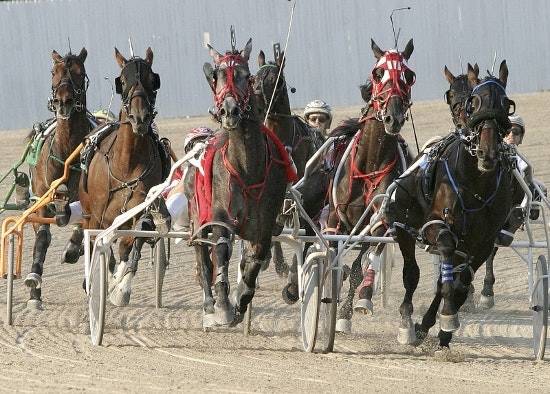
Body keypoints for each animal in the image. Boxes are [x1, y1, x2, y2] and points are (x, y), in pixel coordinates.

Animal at [24, 47, 96, 310]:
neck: (66, 152)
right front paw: (34, 284)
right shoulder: (42, 201)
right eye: (53, 71)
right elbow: (42, 237)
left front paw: (72, 250)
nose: (63, 100)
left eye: (80, 72)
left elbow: (81, 233)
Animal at [78, 47, 167, 308]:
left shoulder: (139, 205)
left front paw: (120, 286)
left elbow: (130, 241)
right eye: (123, 81)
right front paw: (98, 281)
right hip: (88, 210)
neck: (126, 161)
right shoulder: (98, 212)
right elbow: (98, 243)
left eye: (152, 80)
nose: (140, 118)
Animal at [324, 38, 414, 332]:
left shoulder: (382, 220)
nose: (393, 117)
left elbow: (365, 260)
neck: (371, 163)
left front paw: (357, 303)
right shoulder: (335, 218)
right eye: (378, 73)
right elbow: (334, 252)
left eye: (408, 75)